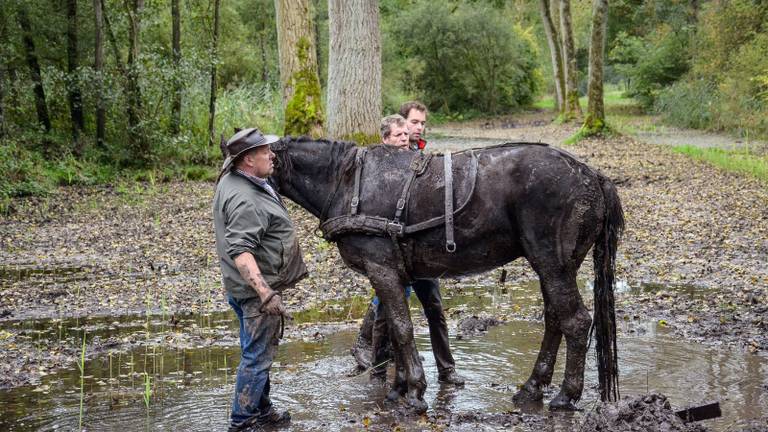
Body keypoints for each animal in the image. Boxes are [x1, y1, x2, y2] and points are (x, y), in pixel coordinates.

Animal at [270, 135, 624, 412]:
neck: (346, 181)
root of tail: (592, 174)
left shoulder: (381, 268)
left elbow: (402, 329)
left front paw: (415, 392)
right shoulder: (394, 273)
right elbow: (393, 328)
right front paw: (398, 389)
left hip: (554, 264)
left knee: (576, 322)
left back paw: (565, 395)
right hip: (554, 267)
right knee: (554, 320)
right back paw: (532, 387)